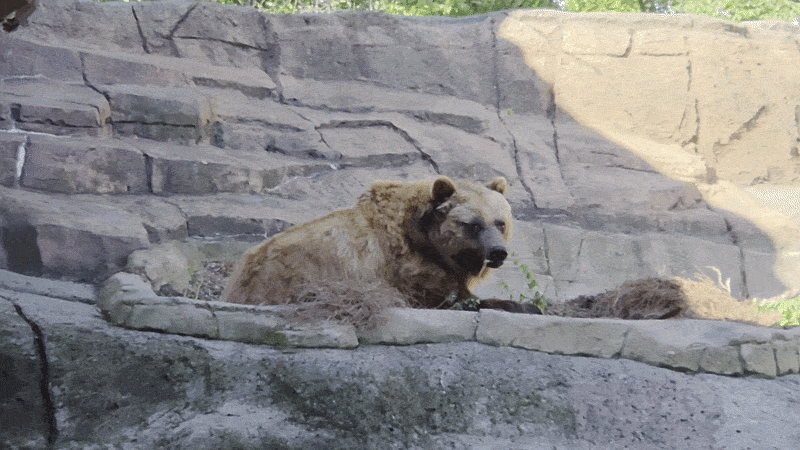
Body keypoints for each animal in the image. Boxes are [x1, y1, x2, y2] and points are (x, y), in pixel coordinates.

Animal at [222, 176, 539, 313]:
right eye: (473, 224)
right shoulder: (405, 266)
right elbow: (445, 296)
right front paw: (520, 304)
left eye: (500, 222)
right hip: (293, 273)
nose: (498, 253)